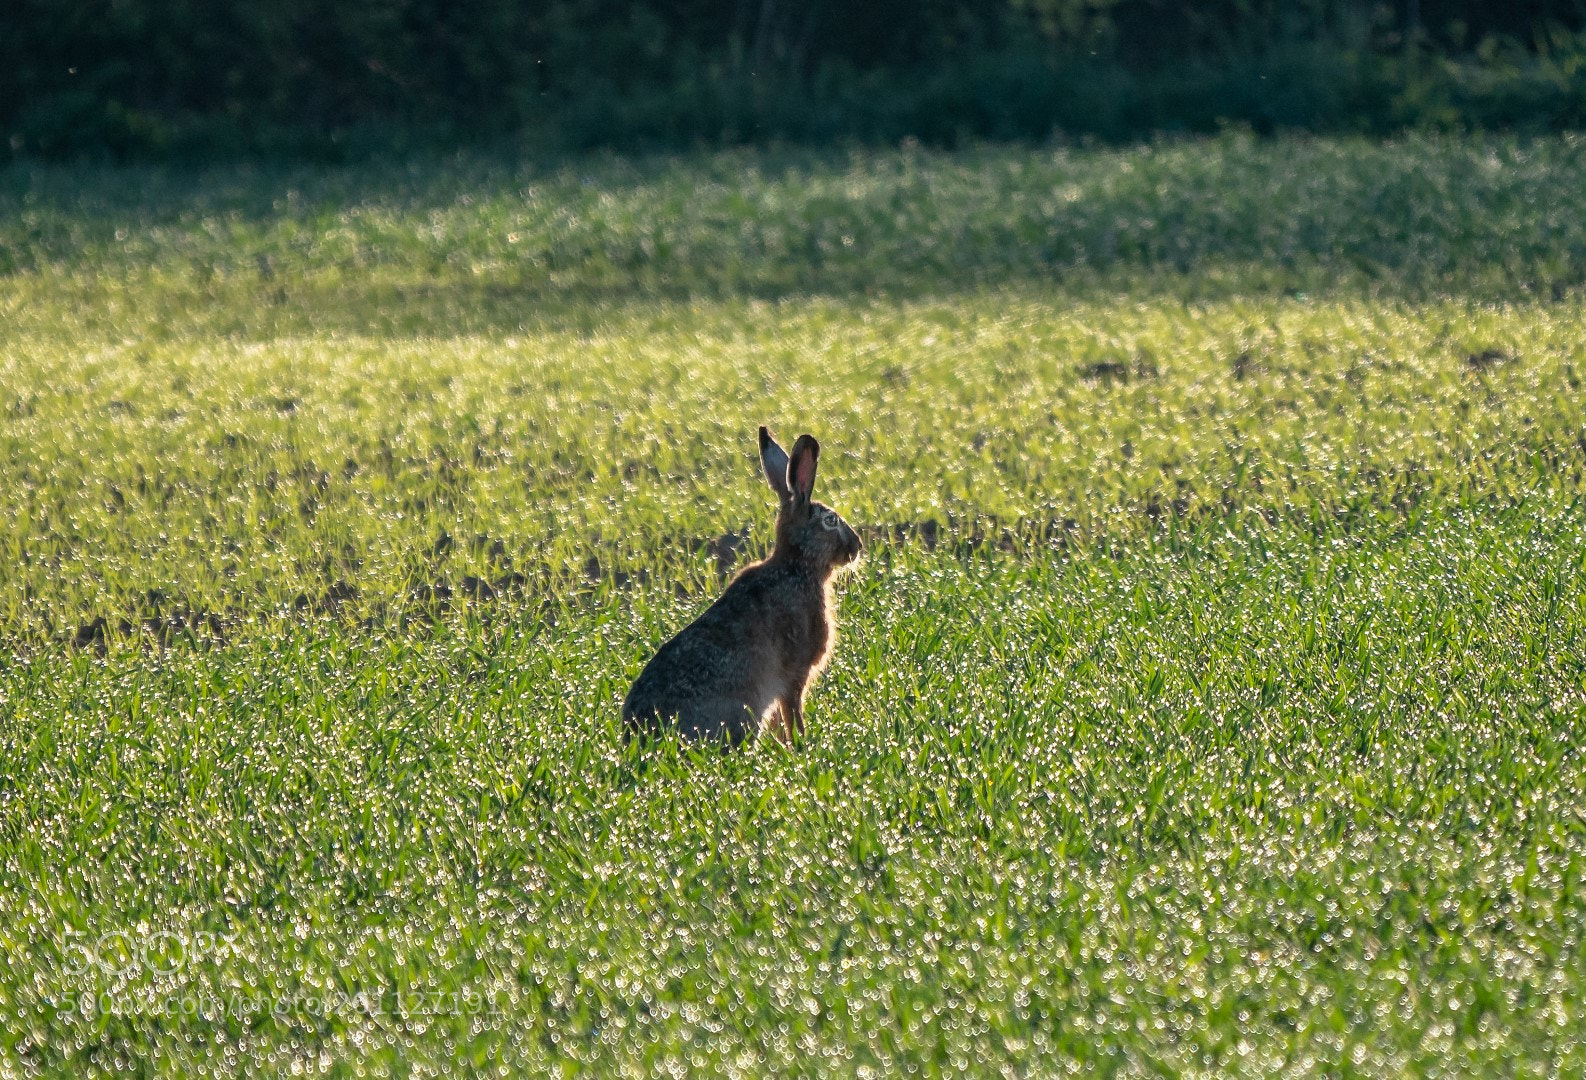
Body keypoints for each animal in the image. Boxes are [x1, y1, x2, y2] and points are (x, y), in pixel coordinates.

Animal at [622, 426, 864, 746]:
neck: (797, 566)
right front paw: (800, 745)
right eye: (831, 520)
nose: (857, 547)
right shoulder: (794, 675)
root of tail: (639, 736)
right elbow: (792, 713)